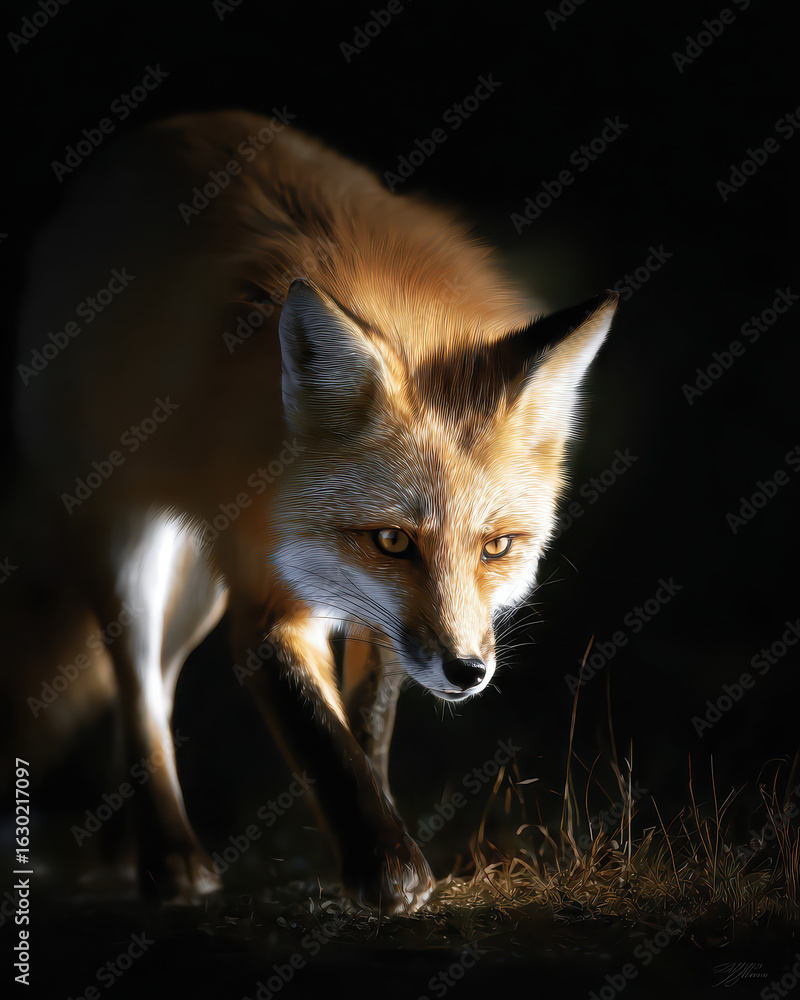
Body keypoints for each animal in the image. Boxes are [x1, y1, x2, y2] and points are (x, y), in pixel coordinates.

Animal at [5, 109, 617, 913]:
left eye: (496, 548)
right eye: (393, 540)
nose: (467, 672)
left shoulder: (375, 612)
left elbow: (367, 728)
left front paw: (377, 840)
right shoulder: (271, 597)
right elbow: (322, 739)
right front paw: (386, 870)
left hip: (196, 591)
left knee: (158, 688)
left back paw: (120, 849)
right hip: (130, 544)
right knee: (136, 685)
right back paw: (170, 859)